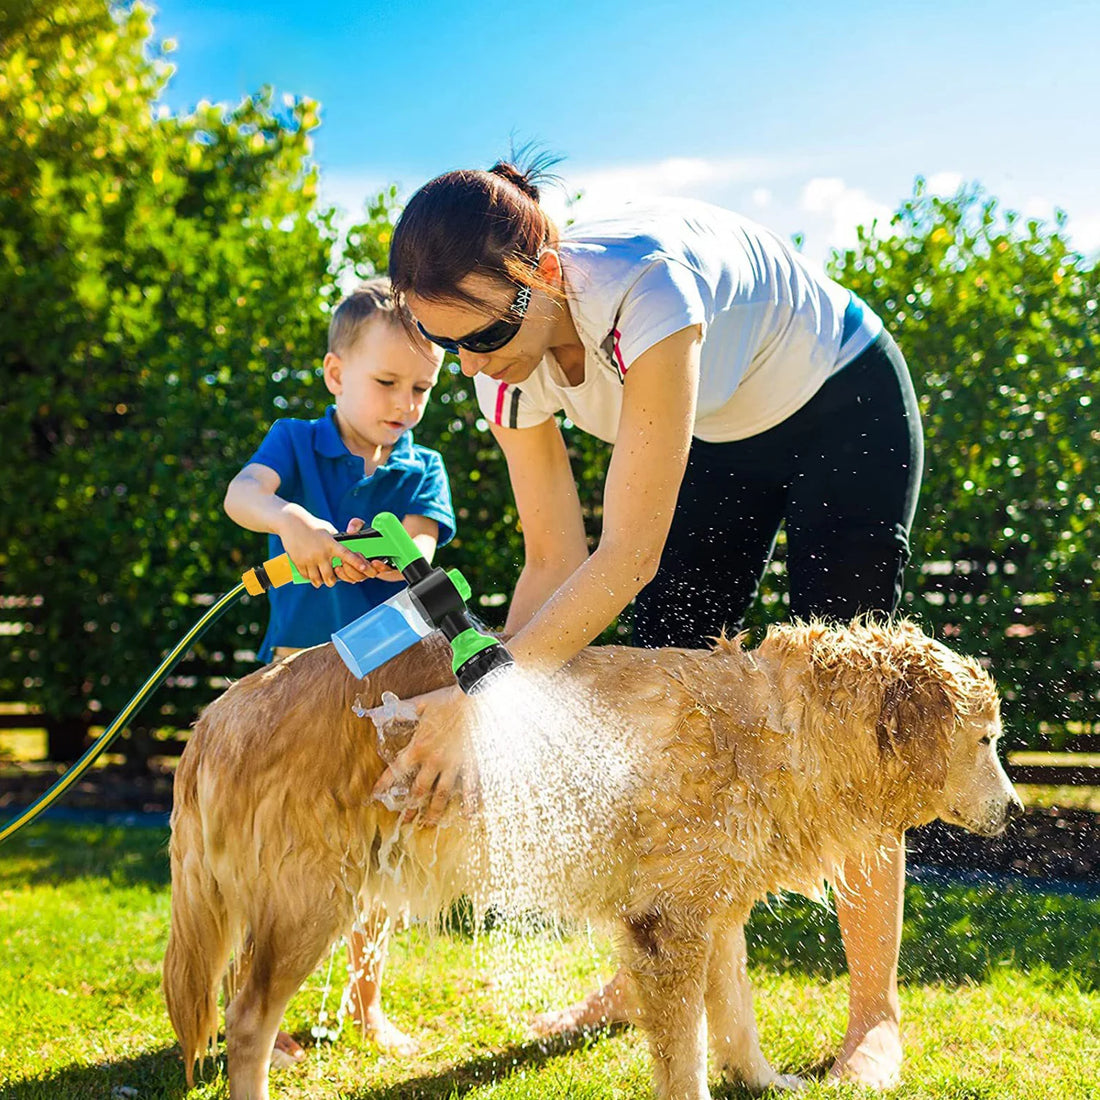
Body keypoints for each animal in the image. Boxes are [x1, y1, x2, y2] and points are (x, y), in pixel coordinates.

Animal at [162, 624, 1020, 1095]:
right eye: (986, 740)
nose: (1015, 810)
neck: (780, 728)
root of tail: (220, 708)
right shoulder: (667, 928)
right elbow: (685, 1056)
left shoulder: (710, 914)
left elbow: (735, 1018)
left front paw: (763, 1081)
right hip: (312, 901)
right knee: (245, 1016)